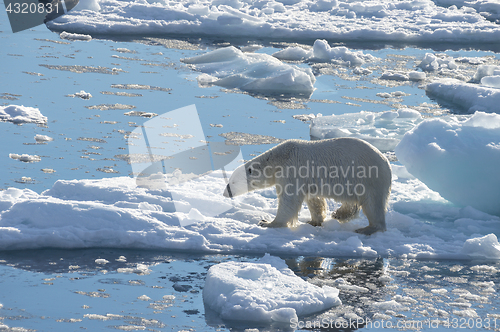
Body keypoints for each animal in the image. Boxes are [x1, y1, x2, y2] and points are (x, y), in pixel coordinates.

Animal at [223, 137, 390, 236]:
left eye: (231, 182)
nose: (225, 193)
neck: (279, 159)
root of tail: (386, 161)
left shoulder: (292, 169)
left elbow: (289, 200)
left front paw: (267, 223)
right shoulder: (308, 179)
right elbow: (314, 200)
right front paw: (313, 221)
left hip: (369, 178)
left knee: (373, 204)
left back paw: (367, 228)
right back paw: (339, 214)